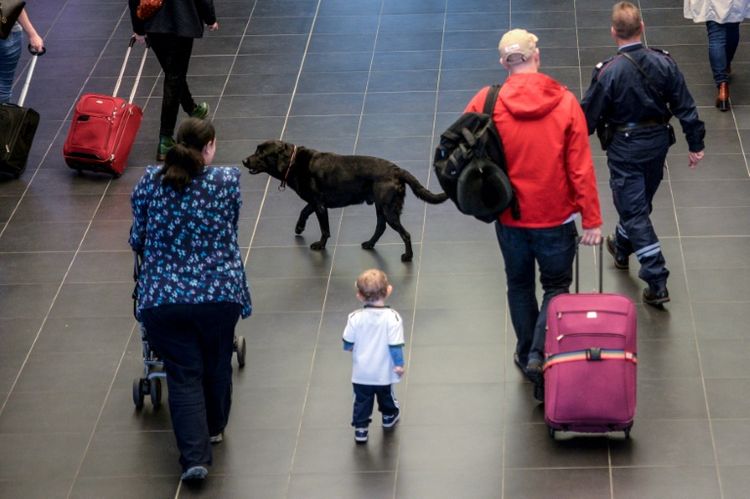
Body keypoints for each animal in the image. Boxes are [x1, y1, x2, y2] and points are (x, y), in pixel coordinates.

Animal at [244, 139, 450, 260]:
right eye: (255, 149)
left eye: (261, 153)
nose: (244, 161)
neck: (294, 162)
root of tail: (397, 169)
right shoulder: (316, 202)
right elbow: (304, 211)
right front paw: (299, 227)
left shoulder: (320, 205)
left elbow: (324, 229)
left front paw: (320, 245)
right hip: (381, 208)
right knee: (380, 227)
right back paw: (369, 244)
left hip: (389, 210)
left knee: (405, 234)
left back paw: (407, 256)